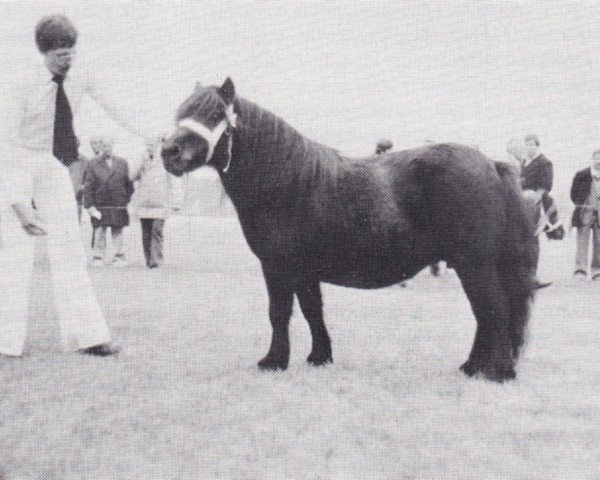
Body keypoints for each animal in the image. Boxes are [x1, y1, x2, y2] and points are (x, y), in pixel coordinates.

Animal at [161, 78, 540, 382]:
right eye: (180, 112)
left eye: (214, 114)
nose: (168, 151)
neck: (288, 181)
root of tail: (492, 164)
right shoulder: (304, 270)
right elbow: (312, 310)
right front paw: (319, 357)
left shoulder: (277, 266)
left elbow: (279, 313)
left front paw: (273, 361)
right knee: (485, 314)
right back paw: (471, 367)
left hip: (474, 263)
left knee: (493, 309)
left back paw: (498, 372)